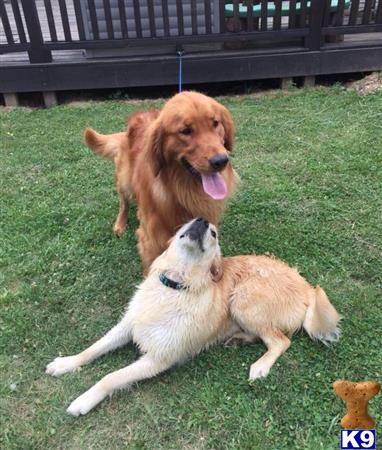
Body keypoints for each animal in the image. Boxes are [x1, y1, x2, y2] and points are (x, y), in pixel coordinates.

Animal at [46, 218, 342, 414]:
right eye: (188, 221)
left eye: (213, 233)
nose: (202, 220)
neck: (175, 286)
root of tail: (306, 287)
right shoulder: (128, 326)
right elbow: (94, 348)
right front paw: (66, 363)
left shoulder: (158, 358)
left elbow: (111, 377)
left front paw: (83, 401)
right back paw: (238, 339)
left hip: (242, 298)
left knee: (281, 340)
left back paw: (260, 365)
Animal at [85, 92, 237, 270]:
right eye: (185, 131)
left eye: (215, 123)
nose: (221, 161)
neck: (182, 191)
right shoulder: (152, 240)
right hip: (125, 180)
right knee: (124, 202)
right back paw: (120, 224)